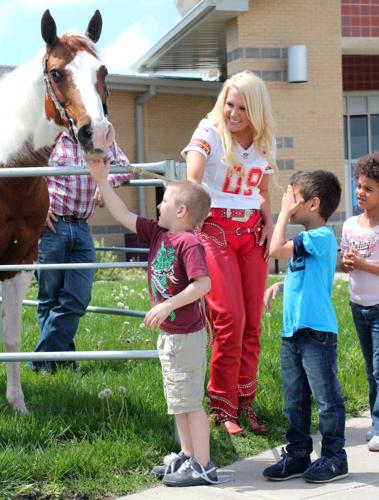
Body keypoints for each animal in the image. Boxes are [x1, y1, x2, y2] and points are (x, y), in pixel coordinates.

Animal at [0, 9, 114, 414]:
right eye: (56, 73)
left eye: (103, 71)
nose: (97, 134)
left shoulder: (19, 261)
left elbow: (12, 337)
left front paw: (17, 403)